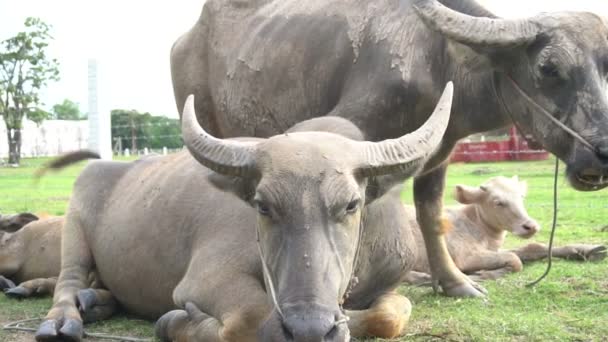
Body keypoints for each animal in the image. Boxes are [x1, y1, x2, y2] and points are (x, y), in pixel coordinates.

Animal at [34, 87, 452, 342]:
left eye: (351, 204)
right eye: (263, 205)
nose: (309, 327)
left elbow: (390, 315)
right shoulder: (207, 278)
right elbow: (251, 318)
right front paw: (177, 321)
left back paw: (96, 301)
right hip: (74, 225)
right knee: (68, 279)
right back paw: (64, 318)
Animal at [402, 175, 604, 284]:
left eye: (522, 197)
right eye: (497, 202)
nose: (530, 226)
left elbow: (532, 248)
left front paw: (585, 249)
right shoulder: (465, 256)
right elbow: (514, 259)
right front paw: (483, 274)